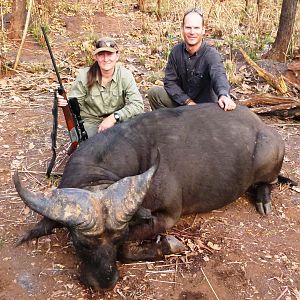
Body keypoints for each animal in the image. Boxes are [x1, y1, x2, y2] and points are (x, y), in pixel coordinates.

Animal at [13, 103, 292, 290]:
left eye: (117, 239)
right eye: (81, 244)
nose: (106, 282)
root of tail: (263, 127)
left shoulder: (167, 216)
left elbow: (127, 249)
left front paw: (169, 245)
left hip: (267, 161)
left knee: (268, 182)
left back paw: (263, 199)